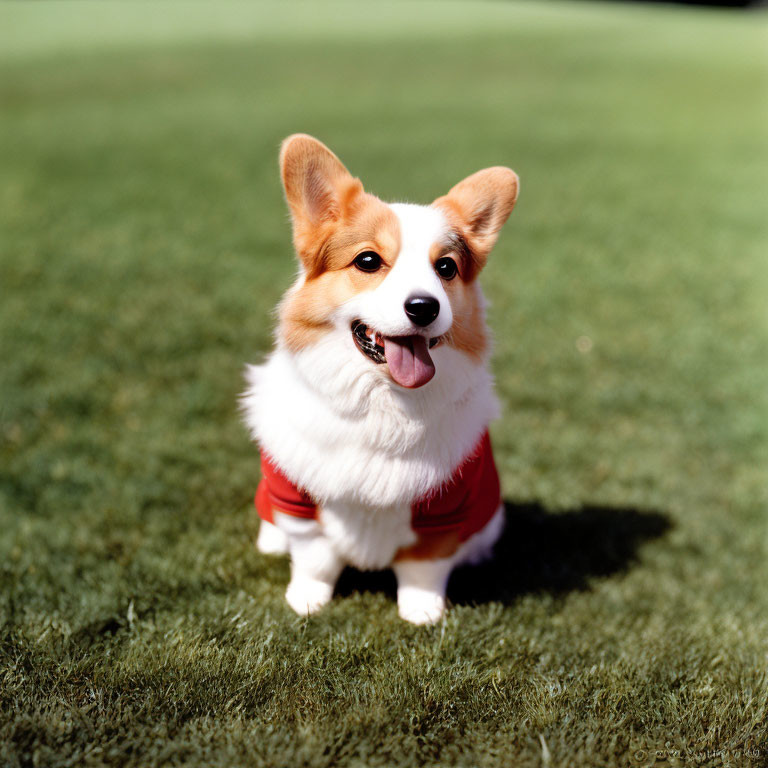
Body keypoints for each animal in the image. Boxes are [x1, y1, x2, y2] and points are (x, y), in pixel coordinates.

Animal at [243, 134, 520, 624]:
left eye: (446, 269)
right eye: (368, 261)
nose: (424, 307)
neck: (383, 401)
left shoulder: (446, 508)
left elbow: (423, 567)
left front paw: (423, 613)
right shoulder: (297, 499)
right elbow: (314, 558)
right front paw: (307, 601)